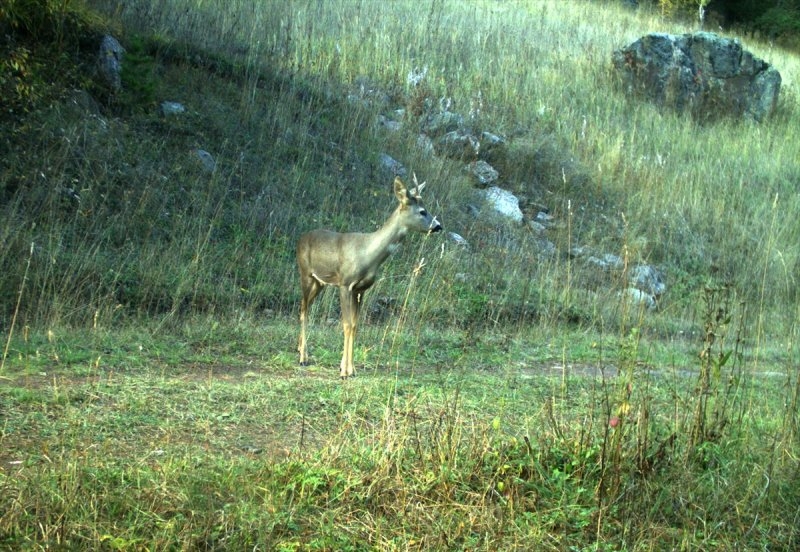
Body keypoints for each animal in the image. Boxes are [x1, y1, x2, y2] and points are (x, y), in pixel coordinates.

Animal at [296, 175, 440, 378]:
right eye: (422, 211)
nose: (438, 226)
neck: (368, 254)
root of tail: (300, 238)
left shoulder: (360, 289)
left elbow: (355, 325)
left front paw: (350, 368)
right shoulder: (345, 283)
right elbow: (347, 325)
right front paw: (345, 372)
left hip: (319, 282)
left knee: (304, 307)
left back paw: (300, 350)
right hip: (306, 274)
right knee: (304, 310)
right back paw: (303, 357)